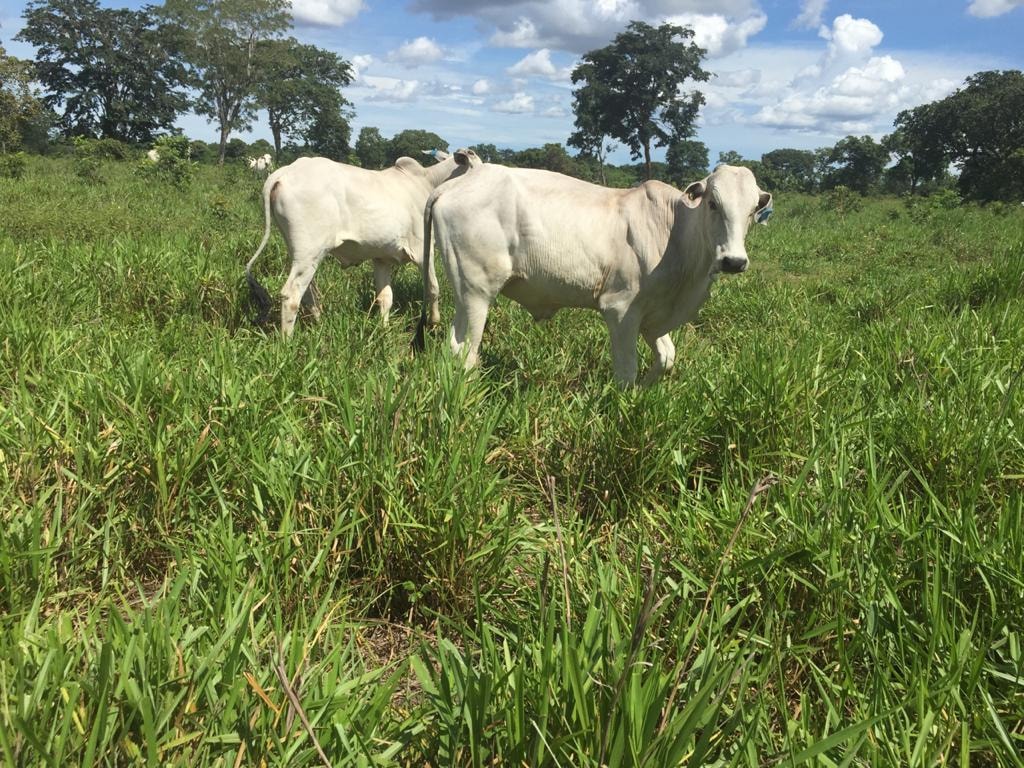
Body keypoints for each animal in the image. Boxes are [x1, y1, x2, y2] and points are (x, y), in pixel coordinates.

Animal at [245, 148, 481, 335]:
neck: (428, 182)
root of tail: (283, 173)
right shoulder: (423, 250)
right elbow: (433, 288)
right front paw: (433, 323)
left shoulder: (382, 258)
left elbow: (385, 297)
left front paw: (384, 330)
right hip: (309, 252)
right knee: (291, 295)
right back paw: (287, 341)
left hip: (301, 253)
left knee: (308, 294)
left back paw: (319, 325)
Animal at [411, 165, 770, 387]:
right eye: (713, 203)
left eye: (754, 209)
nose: (734, 261)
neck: (675, 231)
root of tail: (455, 184)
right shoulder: (621, 310)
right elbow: (626, 371)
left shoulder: (653, 317)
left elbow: (667, 357)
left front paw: (646, 390)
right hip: (476, 292)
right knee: (463, 351)